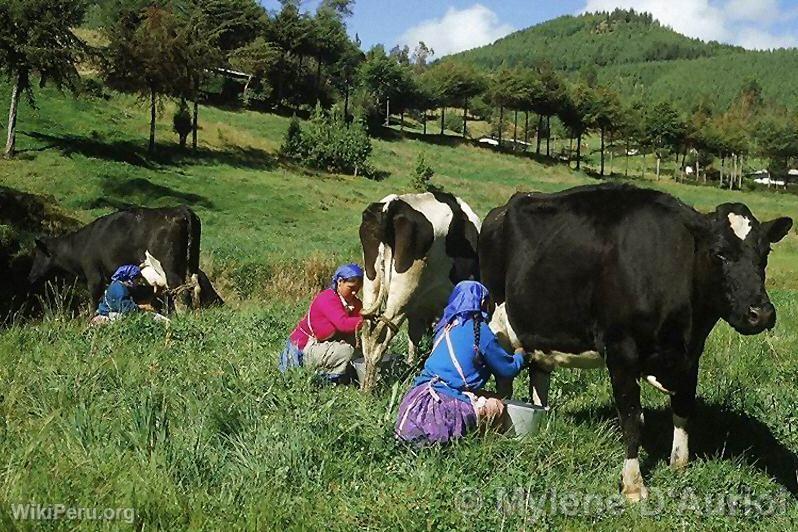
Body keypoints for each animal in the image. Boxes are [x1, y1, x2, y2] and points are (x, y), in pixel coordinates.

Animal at [28, 206, 222, 310]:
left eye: (38, 255)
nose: (30, 276)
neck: (81, 244)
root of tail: (181, 209)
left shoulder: (94, 274)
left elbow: (94, 299)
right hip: (191, 263)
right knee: (194, 287)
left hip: (169, 268)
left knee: (181, 292)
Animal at [360, 191, 482, 390]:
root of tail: (393, 204)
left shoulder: (418, 311)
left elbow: (414, 340)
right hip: (403, 291)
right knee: (380, 335)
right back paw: (368, 389)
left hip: (371, 281)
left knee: (366, 332)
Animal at [482, 185, 792, 500]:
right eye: (719, 253)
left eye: (765, 252)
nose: (761, 313)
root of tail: (506, 206)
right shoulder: (621, 349)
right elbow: (632, 418)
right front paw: (633, 484)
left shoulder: (691, 355)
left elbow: (683, 408)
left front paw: (679, 466)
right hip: (496, 319)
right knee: (503, 375)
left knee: (539, 374)